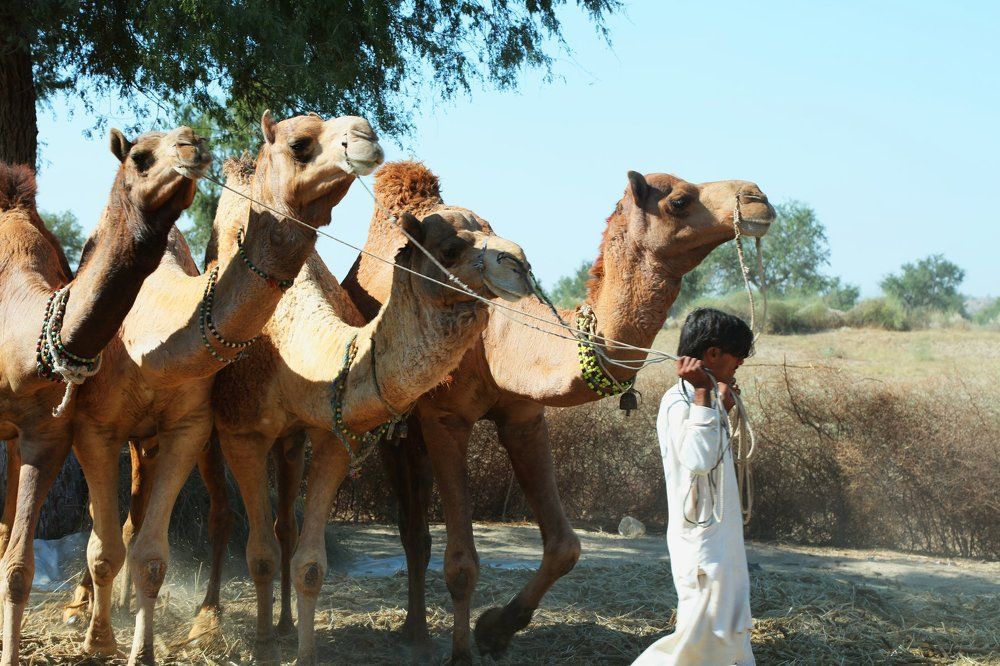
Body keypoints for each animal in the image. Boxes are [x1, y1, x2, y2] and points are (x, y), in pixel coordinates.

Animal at [63, 111, 383, 665]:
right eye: (301, 143)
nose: (366, 136)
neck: (147, 329)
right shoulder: (96, 427)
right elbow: (104, 546)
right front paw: (100, 640)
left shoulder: (191, 424)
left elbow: (151, 552)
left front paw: (142, 647)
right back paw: (99, 607)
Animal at [209, 162, 533, 664]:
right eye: (450, 248)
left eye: (492, 227)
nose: (520, 265)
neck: (295, 347)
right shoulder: (240, 432)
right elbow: (259, 556)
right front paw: (262, 649)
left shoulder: (334, 435)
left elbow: (309, 564)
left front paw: (303, 653)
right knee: (212, 515)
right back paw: (207, 620)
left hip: (291, 441)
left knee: (285, 525)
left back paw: (284, 624)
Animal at [339, 168, 777, 661]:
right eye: (680, 201)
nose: (757, 198)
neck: (500, 335)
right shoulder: (445, 418)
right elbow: (462, 563)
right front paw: (463, 653)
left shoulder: (524, 418)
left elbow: (565, 546)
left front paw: (496, 628)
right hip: (393, 421)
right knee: (412, 529)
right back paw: (415, 632)